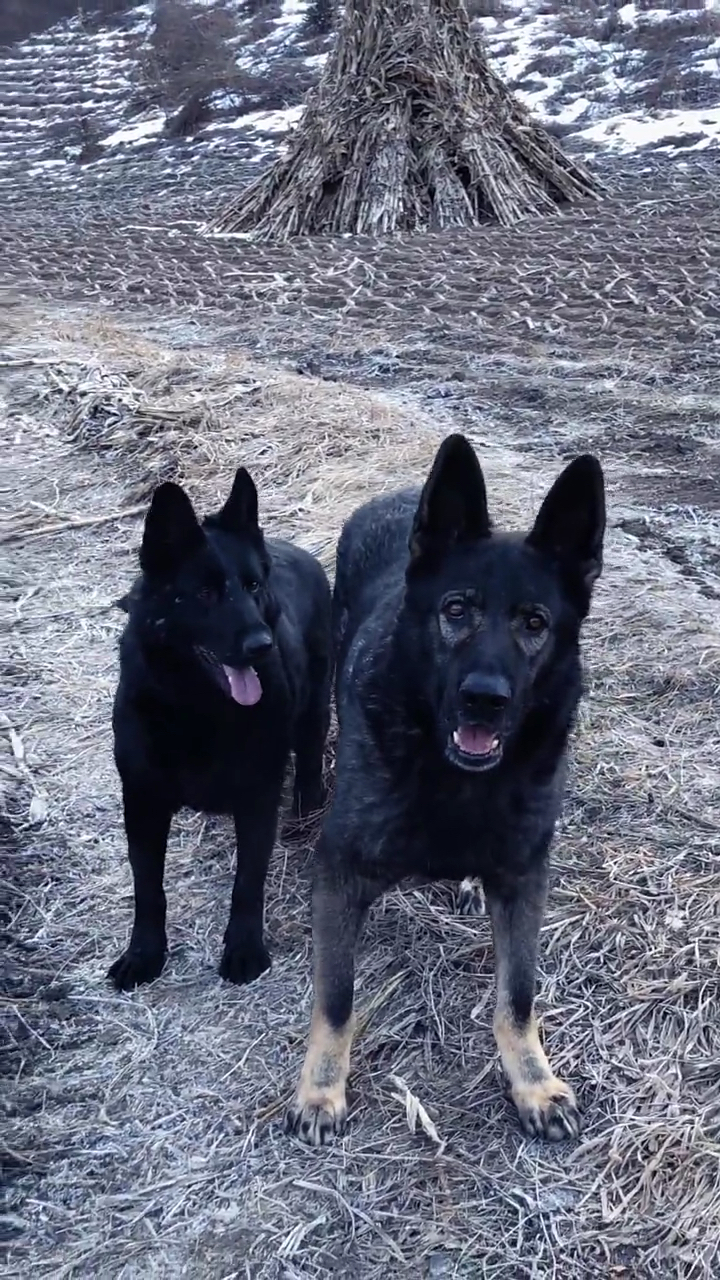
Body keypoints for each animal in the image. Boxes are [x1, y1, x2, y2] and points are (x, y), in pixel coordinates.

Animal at [107, 468, 333, 988]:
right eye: (205, 594)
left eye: (252, 586)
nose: (261, 645)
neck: (198, 709)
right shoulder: (143, 802)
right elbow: (148, 887)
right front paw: (144, 953)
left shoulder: (257, 798)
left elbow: (247, 881)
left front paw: (245, 948)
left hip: (315, 709)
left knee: (310, 760)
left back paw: (305, 812)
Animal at [285, 435, 604, 1146]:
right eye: (456, 611)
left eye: (534, 623)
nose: (484, 698)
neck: (455, 780)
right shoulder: (340, 875)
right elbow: (336, 995)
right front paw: (320, 1088)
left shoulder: (523, 878)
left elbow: (518, 995)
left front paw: (533, 1081)